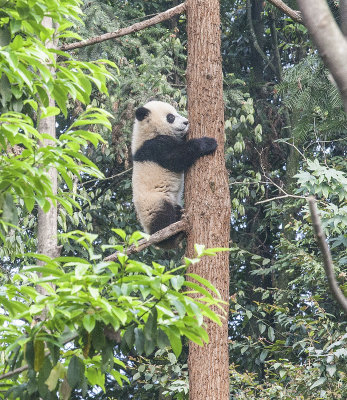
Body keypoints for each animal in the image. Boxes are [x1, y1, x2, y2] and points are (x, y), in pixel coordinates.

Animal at [133, 100, 218, 247]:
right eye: (171, 117)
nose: (186, 122)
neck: (148, 132)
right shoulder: (154, 148)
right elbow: (177, 158)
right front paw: (208, 143)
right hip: (154, 202)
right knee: (162, 220)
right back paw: (171, 236)